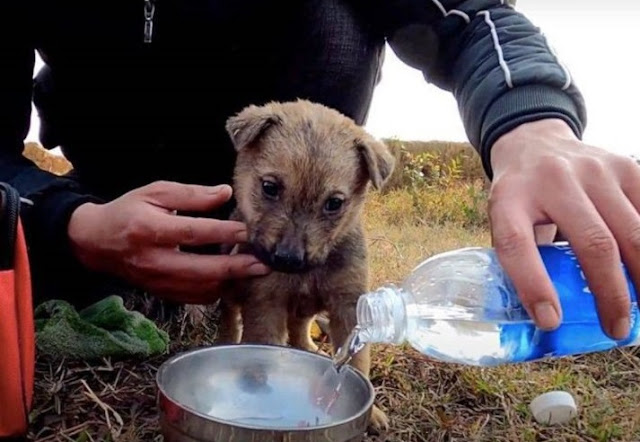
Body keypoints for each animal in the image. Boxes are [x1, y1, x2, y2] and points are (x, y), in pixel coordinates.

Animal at [218, 97, 392, 432]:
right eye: (270, 187)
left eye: (334, 203)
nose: (289, 259)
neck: (309, 272)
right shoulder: (265, 302)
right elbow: (262, 347)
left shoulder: (348, 305)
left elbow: (358, 360)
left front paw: (372, 412)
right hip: (231, 291)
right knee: (229, 318)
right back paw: (227, 341)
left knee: (299, 327)